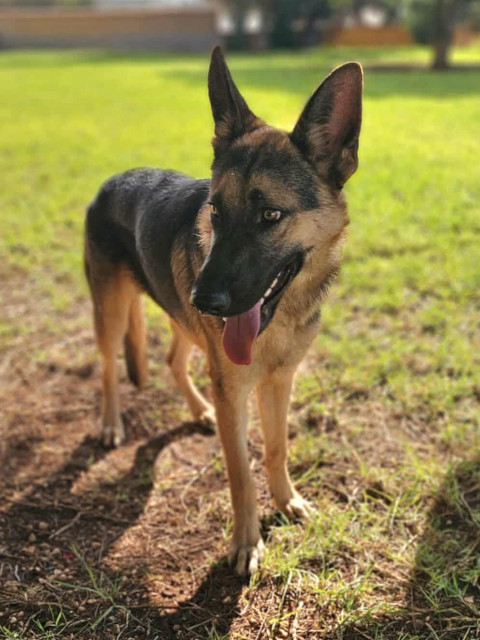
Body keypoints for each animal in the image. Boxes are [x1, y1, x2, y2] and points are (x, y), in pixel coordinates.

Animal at [84, 47, 363, 575]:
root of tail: (111, 180)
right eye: (215, 211)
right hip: (115, 313)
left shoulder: (278, 382)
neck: (279, 319)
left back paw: (199, 410)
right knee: (108, 369)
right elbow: (240, 474)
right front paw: (247, 542)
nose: (205, 300)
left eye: (271, 215)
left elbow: (276, 448)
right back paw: (110, 423)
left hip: (183, 322)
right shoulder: (235, 390)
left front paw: (287, 501)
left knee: (173, 361)